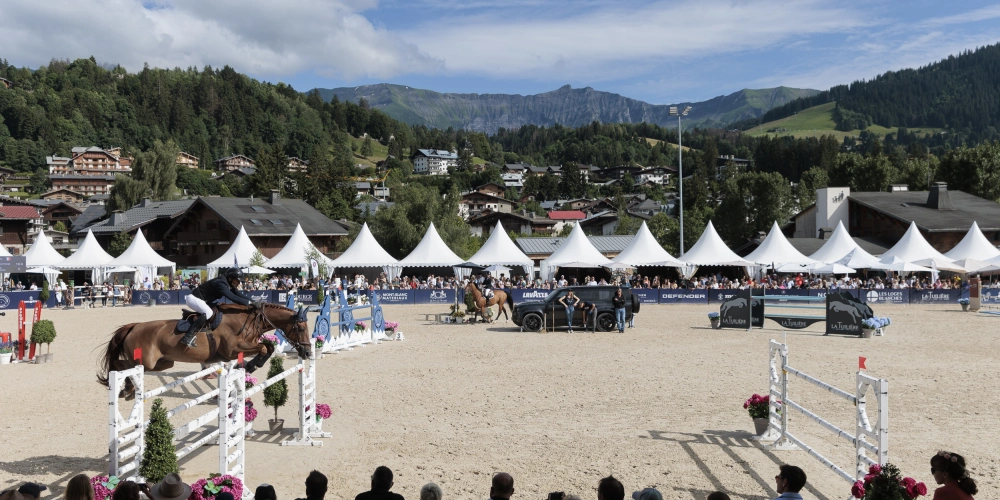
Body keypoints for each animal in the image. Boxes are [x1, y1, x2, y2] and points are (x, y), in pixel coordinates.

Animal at [98, 300, 310, 398]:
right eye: (300, 328)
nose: (307, 352)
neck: (246, 320)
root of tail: (134, 326)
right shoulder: (232, 350)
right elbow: (265, 348)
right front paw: (250, 366)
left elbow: (268, 347)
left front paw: (250, 366)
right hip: (145, 361)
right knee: (120, 364)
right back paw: (125, 388)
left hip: (163, 363)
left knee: (126, 365)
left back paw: (127, 389)